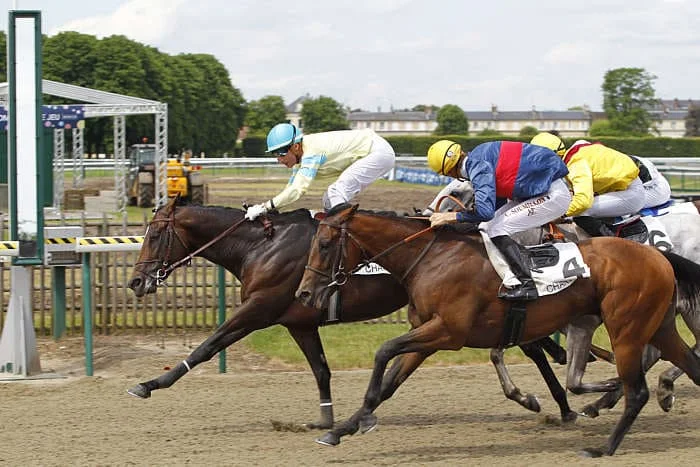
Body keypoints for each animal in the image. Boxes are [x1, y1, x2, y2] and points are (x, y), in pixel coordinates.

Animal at [126, 197, 576, 428]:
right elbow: (322, 369)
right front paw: (326, 420)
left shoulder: (258, 309)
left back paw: (558, 401)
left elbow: (208, 345)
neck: (260, 246)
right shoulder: (299, 322)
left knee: (531, 345)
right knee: (529, 343)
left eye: (154, 235)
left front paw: (149, 384)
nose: (135, 282)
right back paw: (550, 399)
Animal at [296, 204, 700, 458]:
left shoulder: (448, 332)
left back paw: (604, 446)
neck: (432, 259)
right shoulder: (428, 337)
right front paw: (340, 430)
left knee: (637, 391)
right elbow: (389, 384)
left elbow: (383, 351)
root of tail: (659, 255)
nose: (304, 294)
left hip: (626, 328)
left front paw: (361, 420)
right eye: (313, 243)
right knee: (689, 366)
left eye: (325, 244)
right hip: (658, 326)